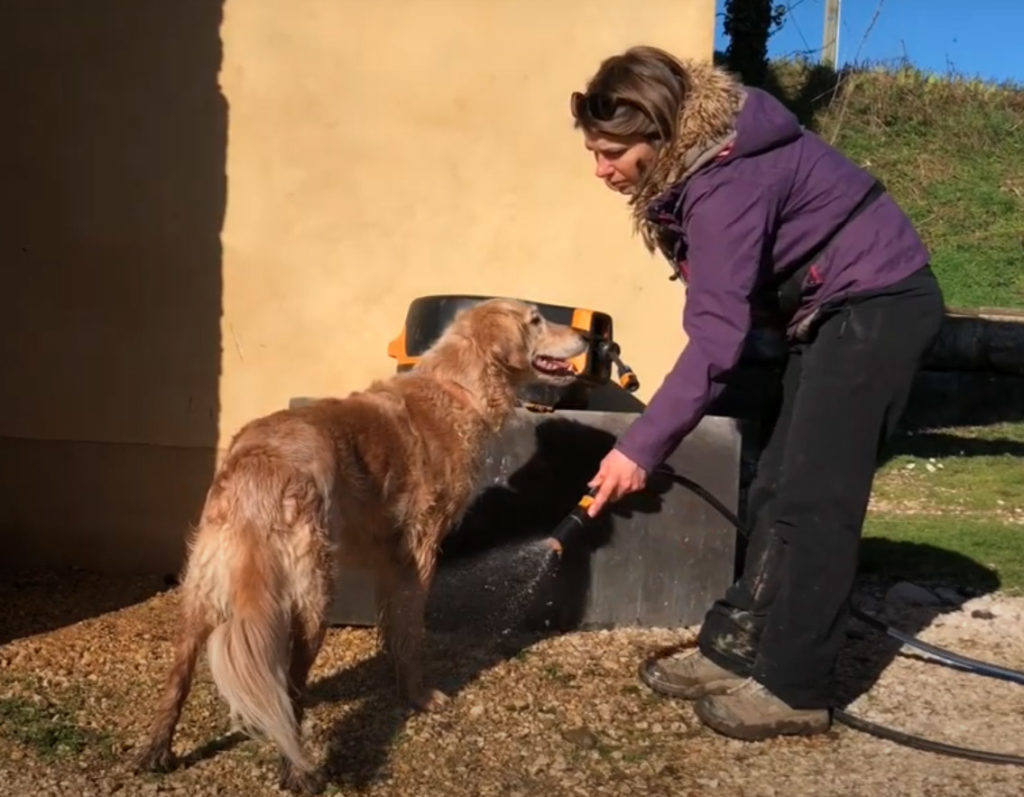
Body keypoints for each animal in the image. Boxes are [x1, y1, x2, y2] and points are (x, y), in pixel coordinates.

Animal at [132, 297, 589, 786]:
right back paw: (296, 771)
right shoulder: (418, 553)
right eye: (536, 320)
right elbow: (411, 631)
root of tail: (259, 465)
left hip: (202, 590)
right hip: (312, 597)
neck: (457, 389)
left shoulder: (390, 560)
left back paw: (156, 751)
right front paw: (417, 696)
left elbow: (394, 625)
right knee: (291, 688)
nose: (589, 337)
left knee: (179, 675)